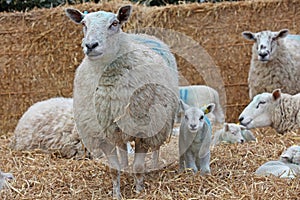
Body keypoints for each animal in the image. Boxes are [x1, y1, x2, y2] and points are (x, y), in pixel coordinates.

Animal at [65, 5, 178, 198]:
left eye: (114, 23)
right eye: (84, 24)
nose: (90, 45)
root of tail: (141, 35)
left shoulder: (143, 131)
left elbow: (139, 166)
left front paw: (139, 191)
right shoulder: (104, 133)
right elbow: (113, 169)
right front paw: (116, 193)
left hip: (160, 119)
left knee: (156, 147)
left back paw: (154, 166)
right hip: (117, 127)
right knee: (123, 148)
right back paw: (125, 165)